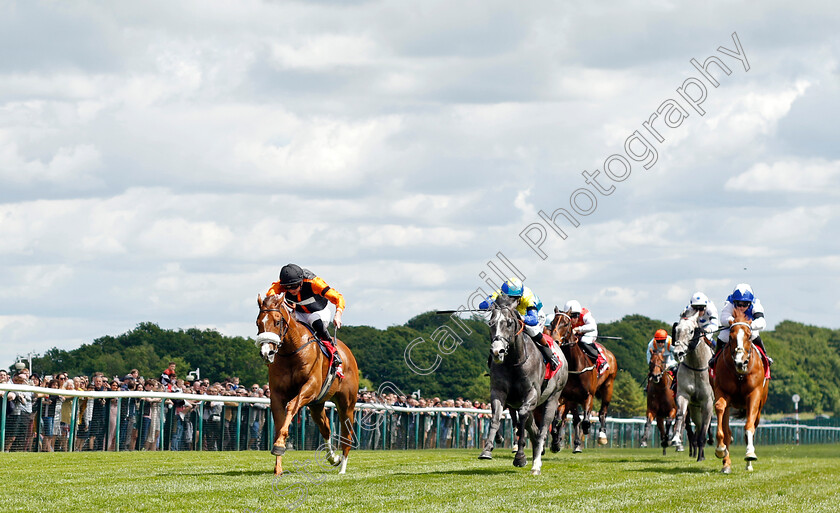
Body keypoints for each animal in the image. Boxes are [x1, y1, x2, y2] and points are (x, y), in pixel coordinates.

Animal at [256, 294, 360, 474]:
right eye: (258, 323)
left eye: (277, 321)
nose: (266, 353)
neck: (291, 350)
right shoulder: (277, 394)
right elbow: (279, 423)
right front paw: (278, 464)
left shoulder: (310, 387)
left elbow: (291, 406)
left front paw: (279, 445)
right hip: (316, 405)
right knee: (325, 427)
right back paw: (333, 458)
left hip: (346, 404)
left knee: (347, 435)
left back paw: (342, 468)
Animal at [544, 306, 616, 450]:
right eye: (553, 322)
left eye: (566, 323)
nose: (555, 341)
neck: (575, 366)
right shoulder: (564, 396)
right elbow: (558, 420)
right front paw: (556, 442)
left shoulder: (588, 395)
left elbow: (586, 421)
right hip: (573, 399)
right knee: (573, 419)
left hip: (608, 386)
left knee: (603, 412)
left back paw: (601, 436)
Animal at [712, 308, 772, 472]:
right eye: (730, 337)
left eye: (749, 336)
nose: (740, 362)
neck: (739, 373)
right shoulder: (722, 391)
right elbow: (720, 409)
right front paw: (720, 449)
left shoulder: (754, 395)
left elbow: (749, 427)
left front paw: (750, 454)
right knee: (727, 431)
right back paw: (726, 464)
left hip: (760, 406)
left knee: (753, 426)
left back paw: (748, 464)